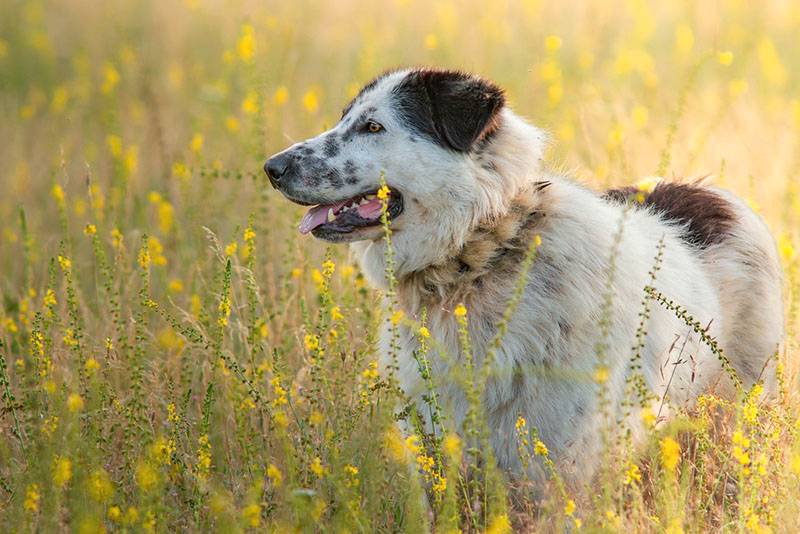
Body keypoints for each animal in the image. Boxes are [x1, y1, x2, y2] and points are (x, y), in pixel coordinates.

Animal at [266, 68, 784, 490]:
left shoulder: (559, 465)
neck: (489, 246)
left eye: (373, 127)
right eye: (345, 119)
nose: (273, 168)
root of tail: (710, 191)